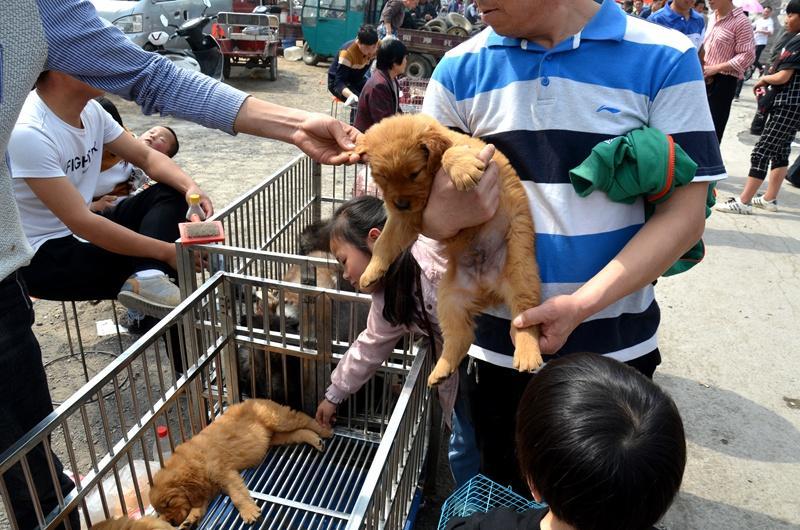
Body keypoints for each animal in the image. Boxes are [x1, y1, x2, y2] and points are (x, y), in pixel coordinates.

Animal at [149, 398, 332, 524]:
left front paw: (249, 512)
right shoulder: (207, 488)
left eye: (169, 502)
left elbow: (236, 495)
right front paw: (191, 518)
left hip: (278, 419)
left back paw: (325, 430)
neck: (193, 463)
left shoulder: (223, 472)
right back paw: (316, 440)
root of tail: (253, 399)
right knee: (298, 432)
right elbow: (200, 504)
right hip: (276, 437)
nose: (171, 523)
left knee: (303, 419)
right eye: (159, 510)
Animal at [356, 112, 544, 384]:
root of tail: (489, 288)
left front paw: (463, 169)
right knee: (460, 336)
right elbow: (385, 242)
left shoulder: (476, 153)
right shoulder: (407, 218)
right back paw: (441, 370)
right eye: (382, 177)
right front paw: (371, 272)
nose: (400, 204)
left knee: (524, 320)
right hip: (451, 299)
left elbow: (451, 153)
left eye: (414, 173)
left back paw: (528, 353)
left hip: (521, 272)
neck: (432, 178)